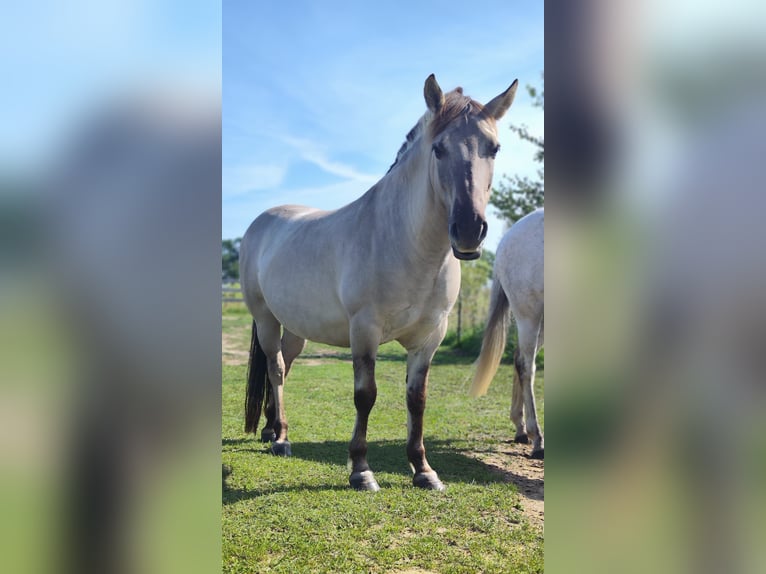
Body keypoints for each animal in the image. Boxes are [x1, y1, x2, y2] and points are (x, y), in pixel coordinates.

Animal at [237, 74, 520, 492]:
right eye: (438, 149)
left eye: (494, 148)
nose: (469, 230)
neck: (405, 242)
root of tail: (263, 220)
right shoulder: (365, 330)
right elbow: (365, 395)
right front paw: (361, 470)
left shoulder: (430, 338)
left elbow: (417, 400)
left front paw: (424, 470)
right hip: (265, 319)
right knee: (275, 368)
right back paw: (283, 438)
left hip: (297, 327)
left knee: (285, 367)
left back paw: (272, 430)